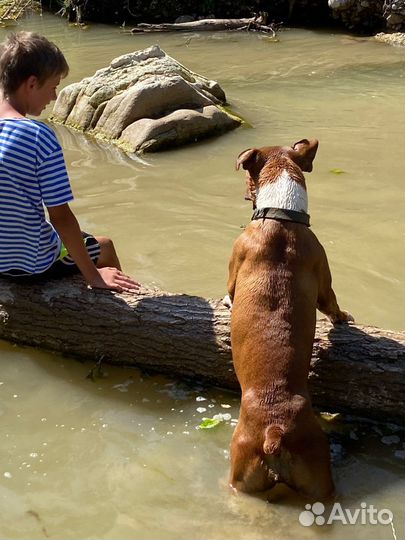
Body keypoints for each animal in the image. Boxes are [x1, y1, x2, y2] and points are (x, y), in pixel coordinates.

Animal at [226, 140, 352, 502]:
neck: (282, 216)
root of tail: (275, 429)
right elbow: (332, 303)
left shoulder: (234, 267)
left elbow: (332, 305)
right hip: (316, 480)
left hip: (244, 478)